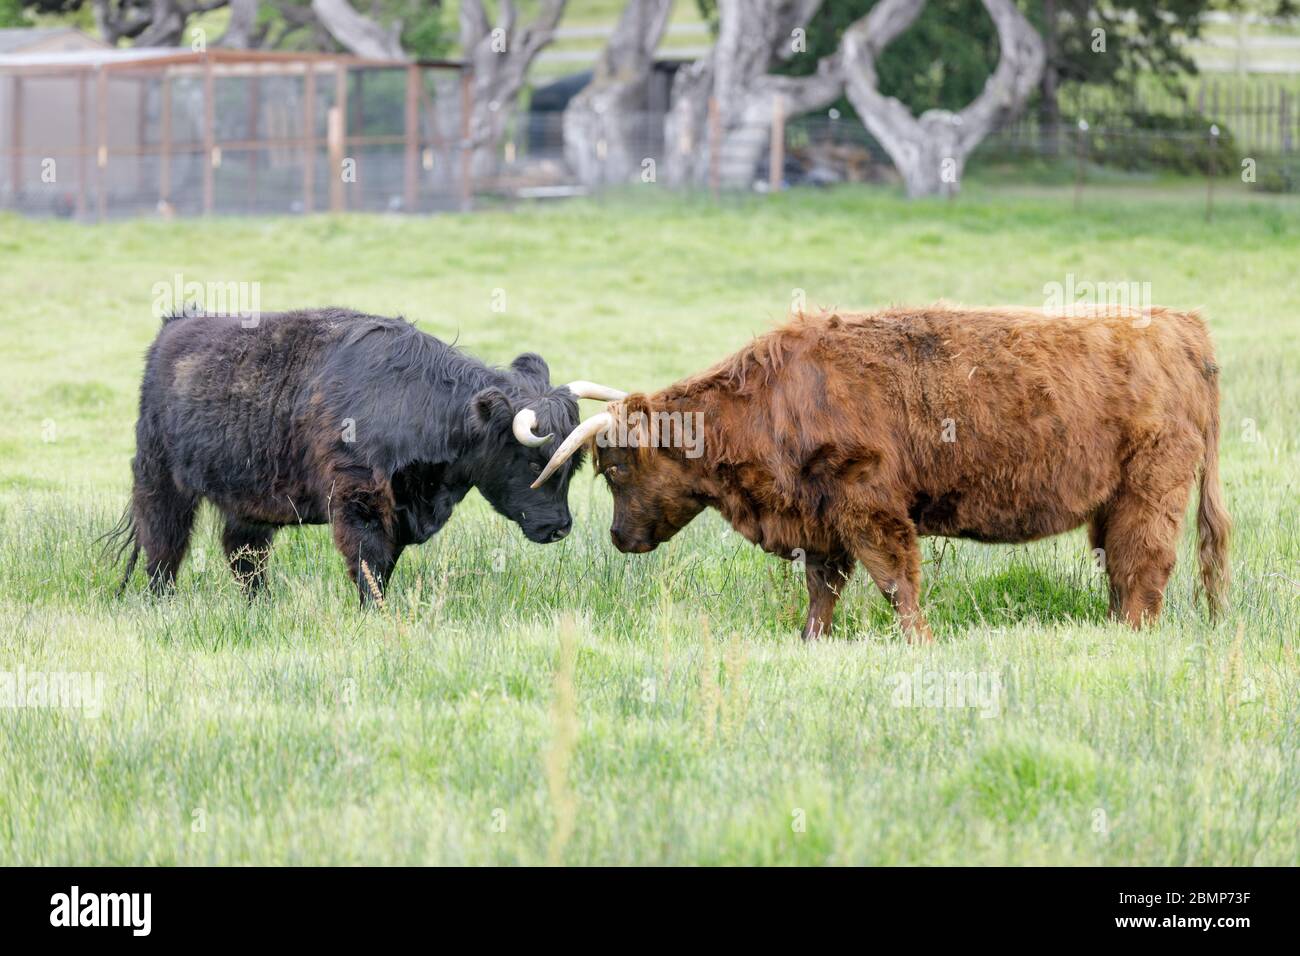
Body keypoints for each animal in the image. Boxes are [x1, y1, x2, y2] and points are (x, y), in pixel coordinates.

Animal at [106, 310, 624, 600]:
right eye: (535, 462)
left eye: (575, 465)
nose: (559, 528)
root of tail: (176, 325)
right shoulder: (359, 500)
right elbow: (368, 563)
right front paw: (373, 612)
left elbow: (384, 565)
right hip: (159, 479)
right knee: (164, 546)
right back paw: (162, 603)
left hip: (247, 498)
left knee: (245, 554)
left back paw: (260, 605)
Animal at [527, 303, 1227, 639]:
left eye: (616, 466)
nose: (619, 538)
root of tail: (1180, 326)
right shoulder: (821, 521)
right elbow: (823, 590)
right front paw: (811, 641)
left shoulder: (869, 506)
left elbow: (895, 584)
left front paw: (920, 643)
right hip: (1116, 500)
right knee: (1120, 566)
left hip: (1152, 488)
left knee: (1145, 566)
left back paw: (1131, 636)